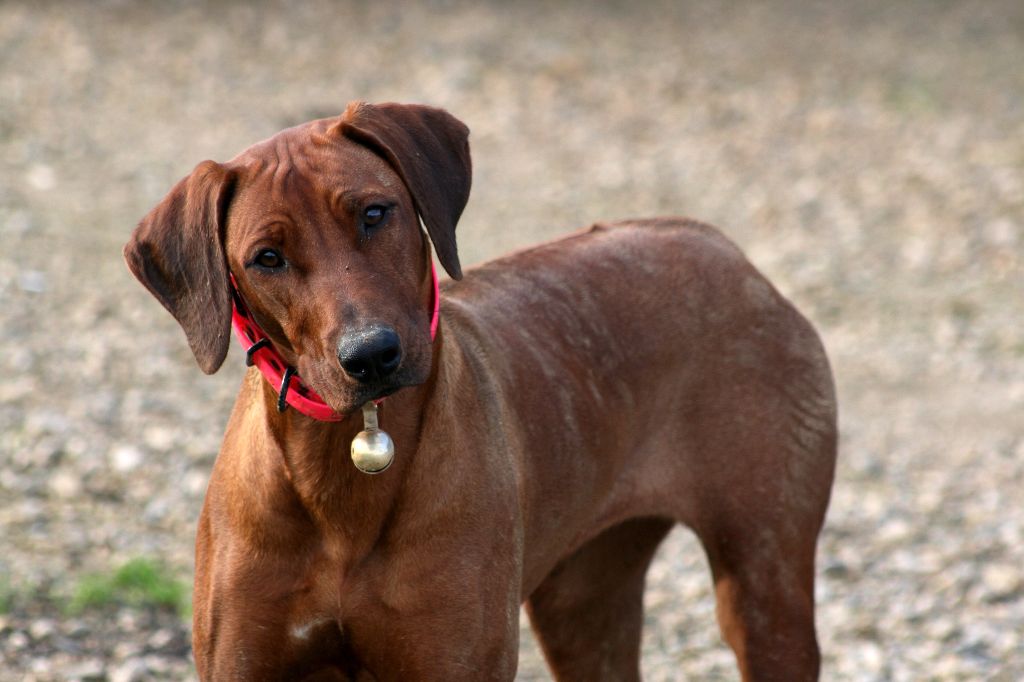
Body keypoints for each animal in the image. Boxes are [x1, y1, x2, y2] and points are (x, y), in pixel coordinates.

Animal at [123, 102, 835, 679]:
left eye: (374, 213)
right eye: (266, 257)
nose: (371, 355)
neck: (343, 478)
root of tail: (723, 248)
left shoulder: (455, 660)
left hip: (764, 589)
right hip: (582, 599)